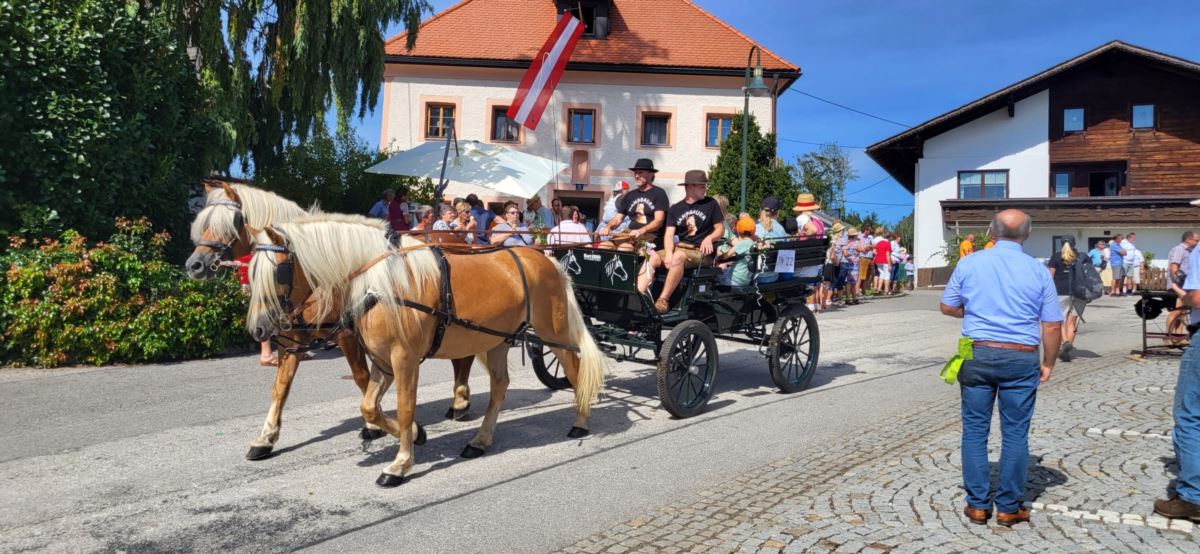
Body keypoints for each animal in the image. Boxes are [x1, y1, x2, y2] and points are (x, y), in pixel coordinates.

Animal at [184, 182, 475, 462]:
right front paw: (266, 437)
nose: (194, 264)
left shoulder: (347, 335)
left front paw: (381, 426)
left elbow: (361, 377)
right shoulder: (292, 338)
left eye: (231, 221)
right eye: (203, 220)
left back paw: (460, 402)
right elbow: (280, 387)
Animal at [250, 214, 609, 486]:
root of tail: (546, 259)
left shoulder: (404, 359)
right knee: (499, 386)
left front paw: (400, 463)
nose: (258, 329)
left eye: (279, 271)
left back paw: (581, 420)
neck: (380, 284)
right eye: (251, 271)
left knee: (574, 368)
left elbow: (405, 407)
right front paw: (415, 434)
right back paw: (480, 440)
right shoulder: (382, 359)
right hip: (497, 340)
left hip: (553, 333)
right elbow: (369, 407)